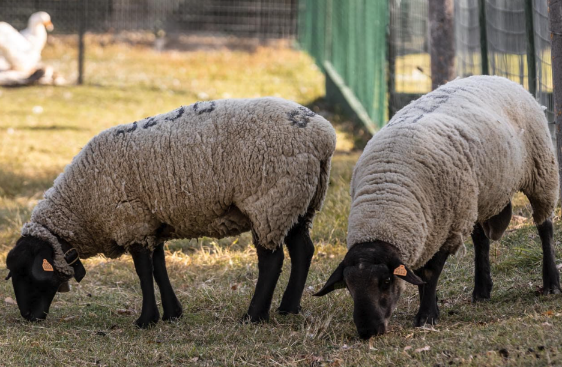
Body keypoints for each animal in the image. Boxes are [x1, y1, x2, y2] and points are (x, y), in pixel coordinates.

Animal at [6, 97, 334, 328]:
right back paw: (288, 308)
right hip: (300, 201)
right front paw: (172, 313)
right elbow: (158, 267)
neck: (81, 205)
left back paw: (254, 315)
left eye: (27, 274)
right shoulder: (153, 223)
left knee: (271, 260)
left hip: (270, 200)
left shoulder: (132, 221)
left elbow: (142, 271)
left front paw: (145, 320)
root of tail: (324, 136)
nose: (29, 317)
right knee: (303, 250)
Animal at [312, 75, 556, 342]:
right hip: (475, 198)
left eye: (385, 281)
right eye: (348, 285)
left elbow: (429, 273)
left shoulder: (446, 227)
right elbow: (418, 273)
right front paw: (430, 308)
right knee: (481, 240)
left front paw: (426, 316)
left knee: (545, 227)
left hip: (541, 170)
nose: (368, 332)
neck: (385, 197)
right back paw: (482, 291)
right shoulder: (425, 227)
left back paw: (551, 283)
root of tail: (497, 77)